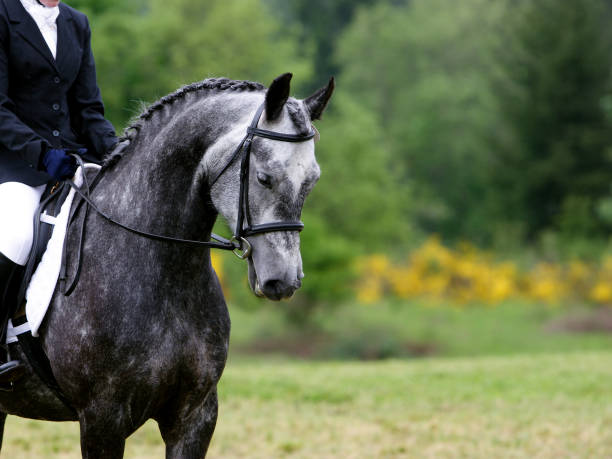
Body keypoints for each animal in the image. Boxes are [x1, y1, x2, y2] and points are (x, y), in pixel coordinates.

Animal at [0, 73, 334, 458]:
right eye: (264, 178)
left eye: (312, 180)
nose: (284, 280)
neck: (167, 272)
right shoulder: (101, 418)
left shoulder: (195, 416)